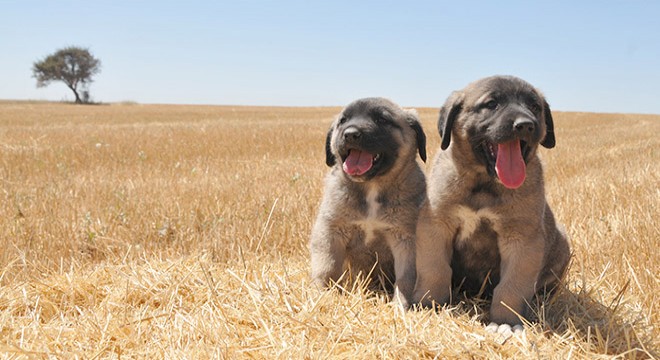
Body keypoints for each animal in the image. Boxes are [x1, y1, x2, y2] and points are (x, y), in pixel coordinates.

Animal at [310, 96, 428, 306]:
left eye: (382, 119)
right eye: (343, 121)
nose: (350, 134)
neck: (372, 187)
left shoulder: (406, 239)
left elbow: (406, 276)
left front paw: (401, 303)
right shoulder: (330, 231)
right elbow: (327, 267)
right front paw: (322, 296)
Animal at [416, 76, 568, 334]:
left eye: (534, 107)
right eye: (491, 104)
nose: (525, 125)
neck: (483, 185)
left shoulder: (521, 240)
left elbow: (511, 286)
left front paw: (505, 321)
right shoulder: (436, 226)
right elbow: (435, 269)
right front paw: (430, 304)